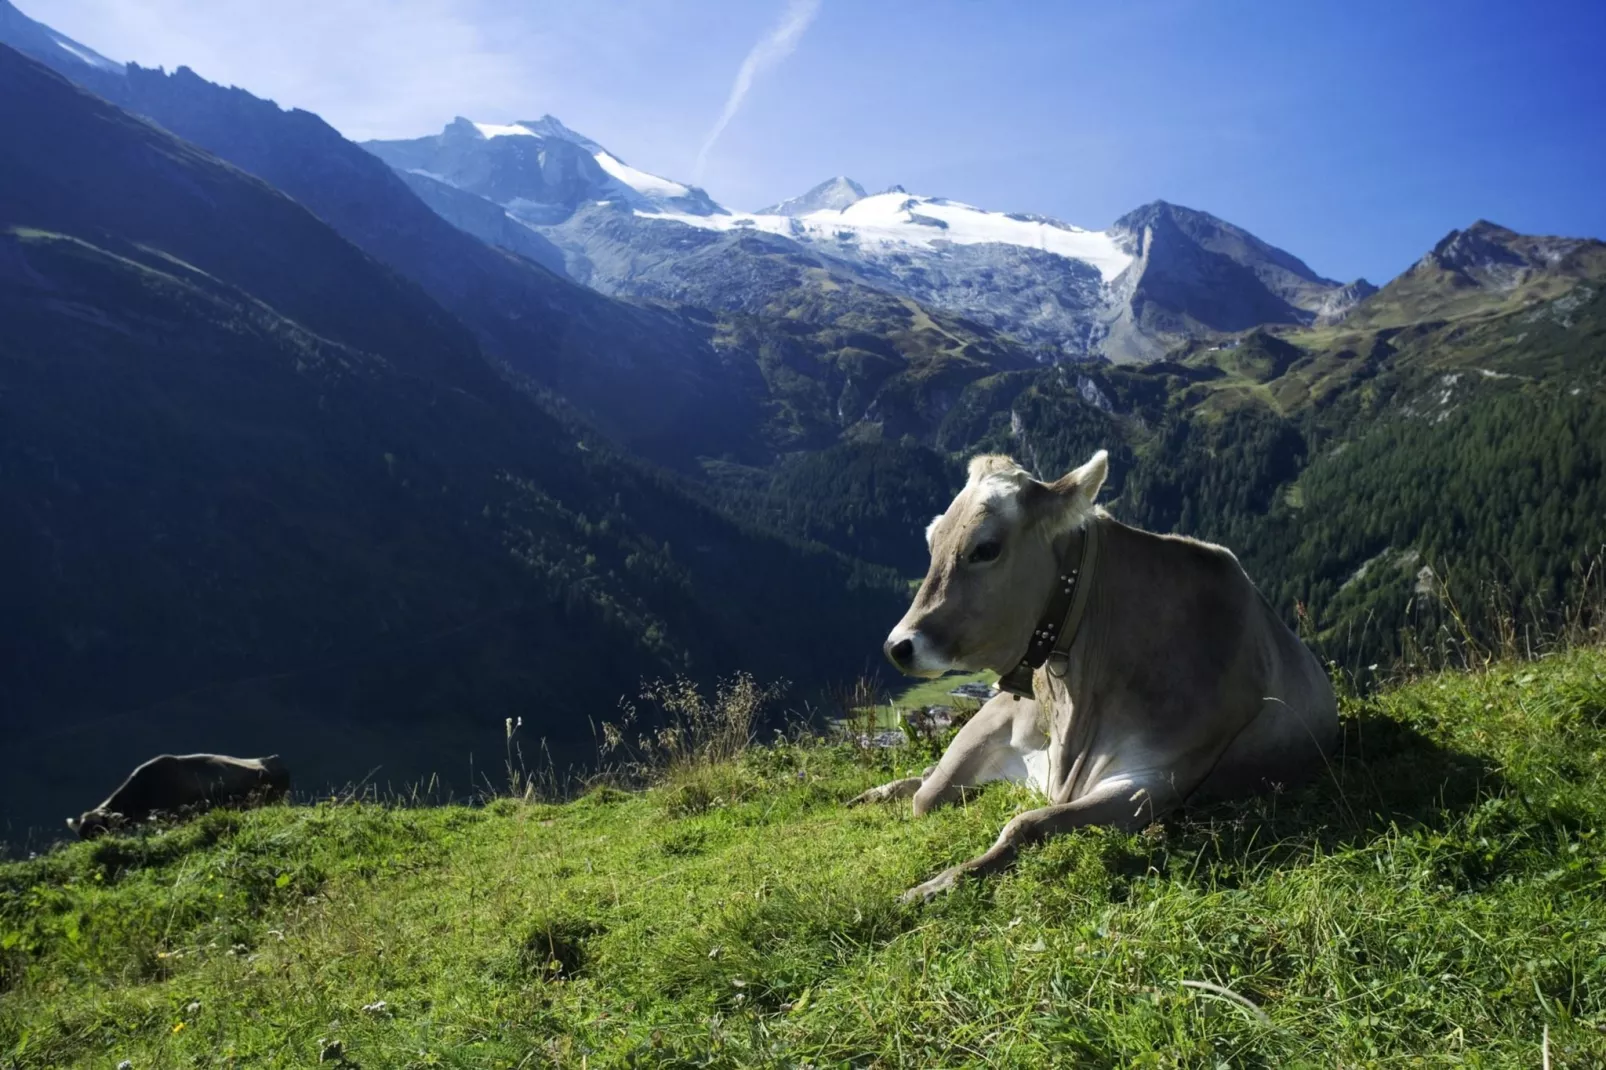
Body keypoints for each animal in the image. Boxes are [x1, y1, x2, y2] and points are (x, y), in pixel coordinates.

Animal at [860, 449, 1336, 899]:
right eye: (933, 539)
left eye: (985, 548)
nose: (897, 646)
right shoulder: (998, 718)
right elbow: (927, 796)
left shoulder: (1152, 779)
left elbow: (1023, 824)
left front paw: (937, 884)